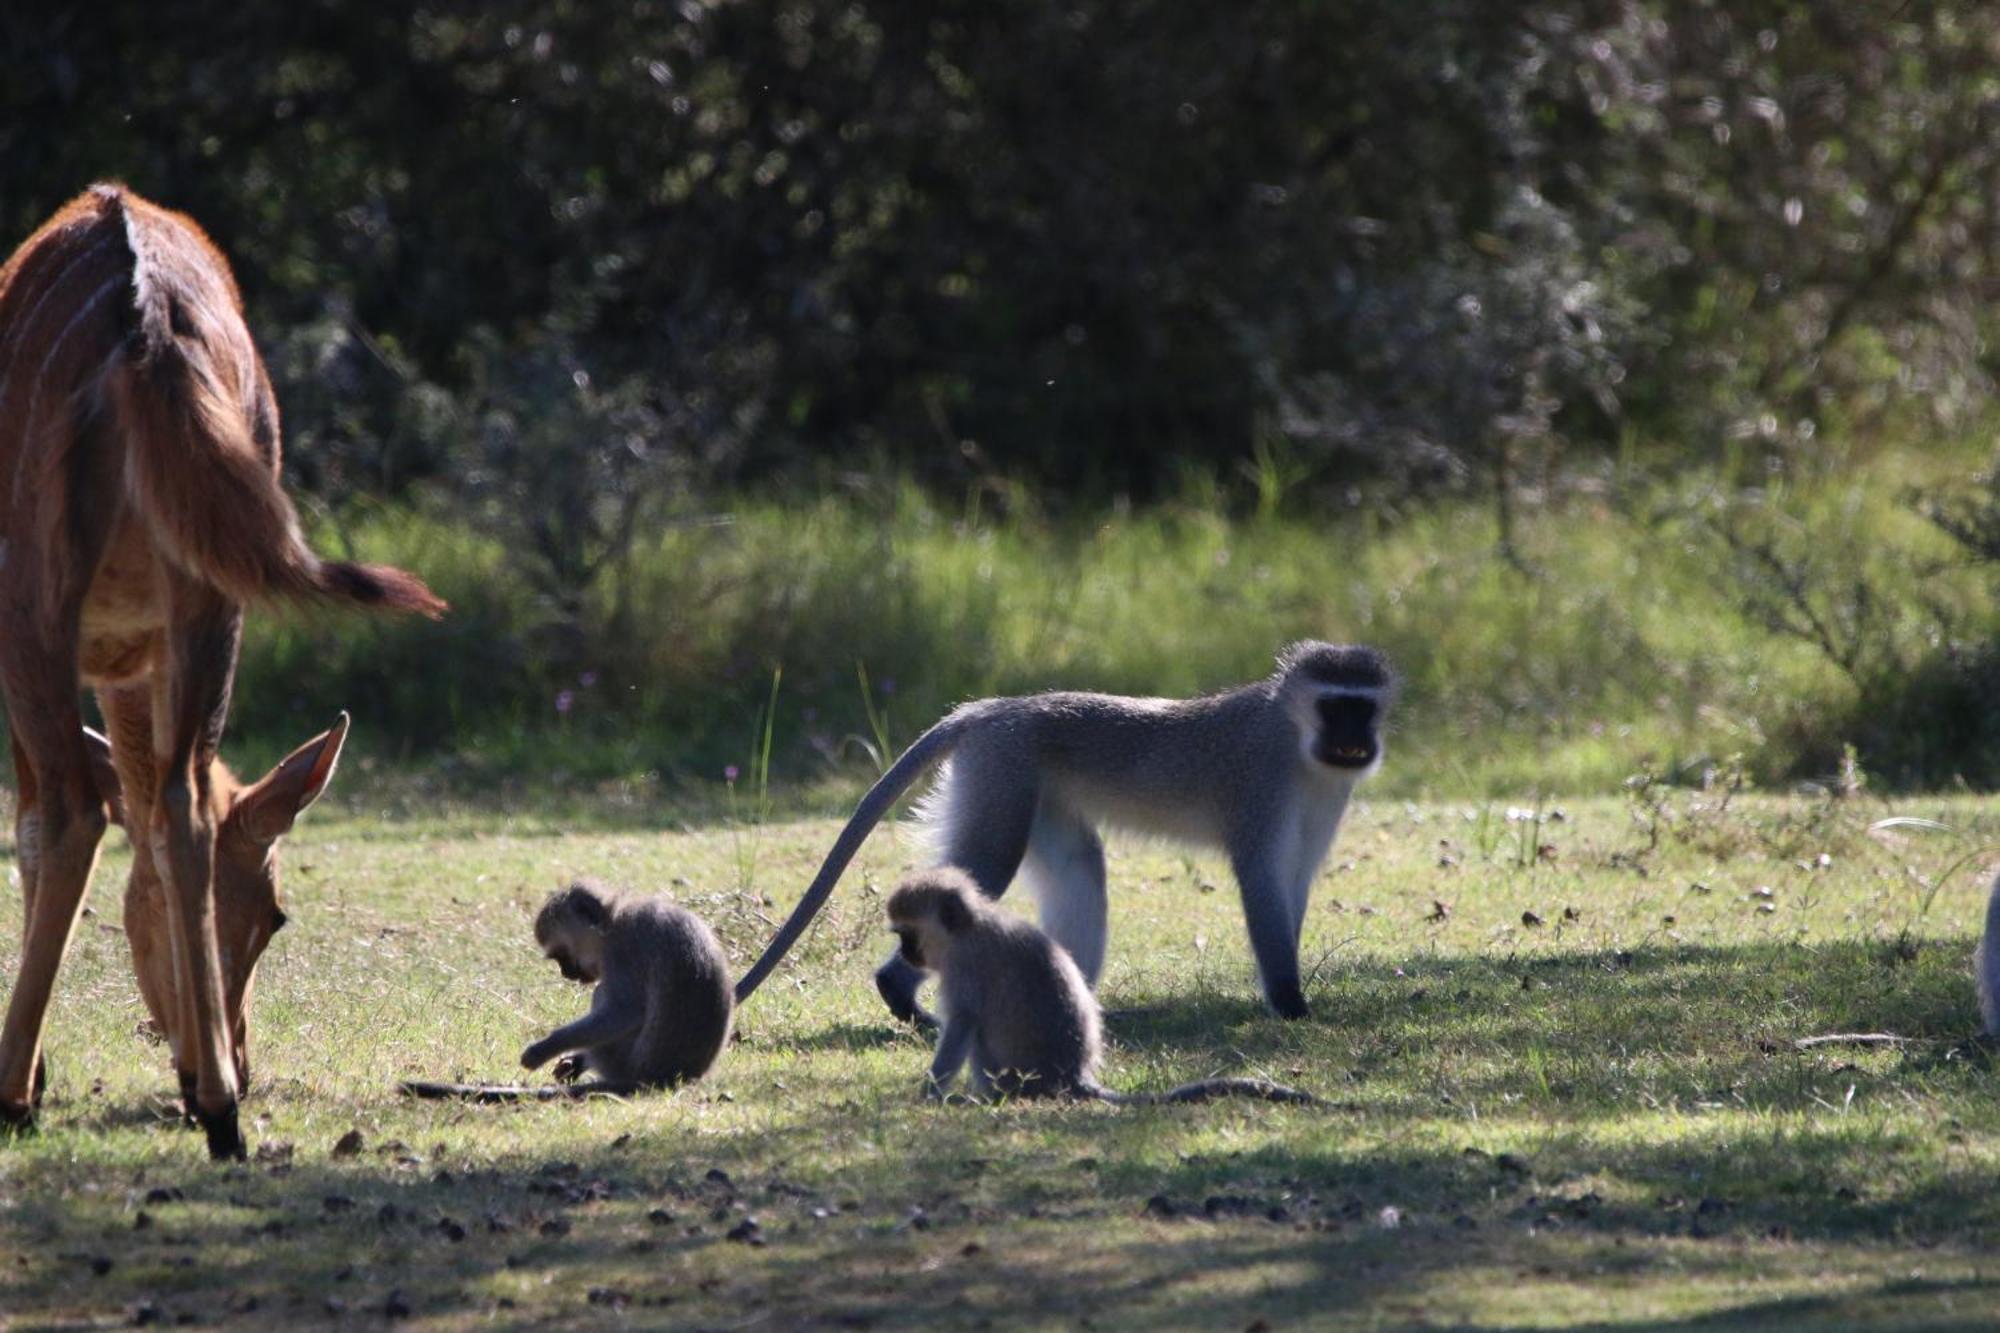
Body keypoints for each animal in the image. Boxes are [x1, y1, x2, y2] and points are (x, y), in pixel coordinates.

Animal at [0, 184, 446, 1152]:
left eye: (275, 916)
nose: (248, 1052)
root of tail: (145, 335)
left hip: (37, 599)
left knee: (74, 810)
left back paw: (15, 1093)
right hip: (211, 593)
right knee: (182, 806)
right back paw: (219, 1108)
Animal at [400, 876, 736, 1096]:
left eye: (561, 955)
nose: (566, 974)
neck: (614, 920)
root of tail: (663, 1078)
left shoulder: (624, 948)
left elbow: (623, 1012)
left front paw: (544, 1049)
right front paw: (573, 1061)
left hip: (620, 1060)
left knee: (604, 998)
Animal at [732, 636, 1392, 1016]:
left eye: (1365, 707)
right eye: (1336, 706)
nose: (1356, 743)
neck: (1296, 741)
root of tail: (988, 711)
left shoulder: (1323, 798)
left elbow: (1292, 883)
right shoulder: (1260, 785)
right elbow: (1261, 882)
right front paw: (1289, 1003)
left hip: (1038, 796)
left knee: (1080, 870)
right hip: (1001, 773)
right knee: (987, 864)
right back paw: (897, 991)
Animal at [888, 860, 1312, 1096]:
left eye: (908, 935)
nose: (907, 954)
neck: (968, 927)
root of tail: (1072, 1076)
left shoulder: (964, 969)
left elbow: (962, 1024)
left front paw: (929, 1094)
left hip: (1013, 1075)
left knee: (976, 1036)